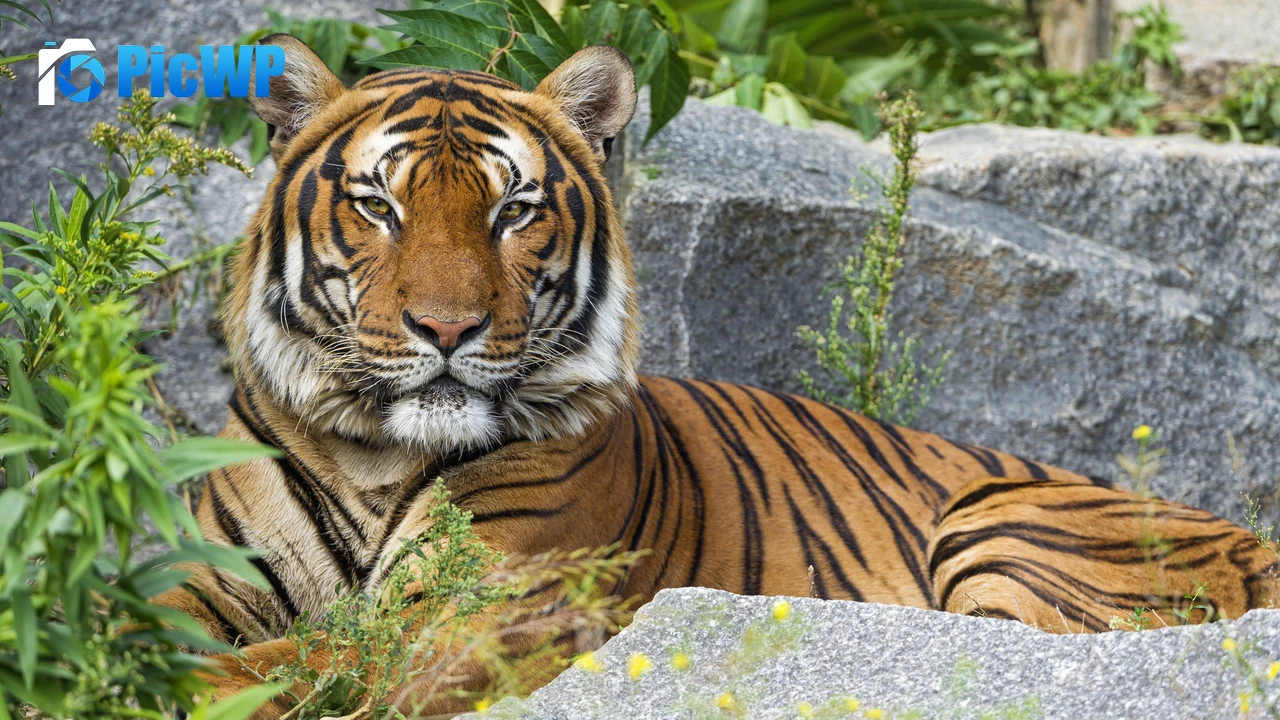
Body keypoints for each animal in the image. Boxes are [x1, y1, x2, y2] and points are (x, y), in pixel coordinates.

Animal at [154, 34, 1280, 717]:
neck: (373, 456)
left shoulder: (491, 605)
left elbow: (316, 656)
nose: (447, 327)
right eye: (377, 206)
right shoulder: (205, 575)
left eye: (513, 210)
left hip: (1002, 520)